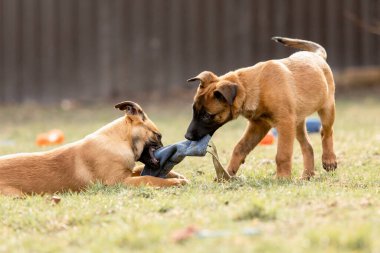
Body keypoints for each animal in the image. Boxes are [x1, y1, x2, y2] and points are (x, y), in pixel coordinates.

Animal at [0, 102, 189, 197]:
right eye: (158, 136)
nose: (166, 150)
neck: (120, 141)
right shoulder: (118, 182)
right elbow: (148, 178)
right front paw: (174, 182)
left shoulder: (126, 173)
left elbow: (140, 169)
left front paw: (175, 175)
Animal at [186, 37, 336, 180]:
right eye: (193, 111)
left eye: (206, 115)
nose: (187, 136)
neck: (253, 86)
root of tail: (317, 55)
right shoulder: (259, 125)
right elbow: (240, 147)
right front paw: (227, 174)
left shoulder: (285, 124)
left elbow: (282, 154)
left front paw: (282, 178)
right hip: (298, 121)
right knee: (307, 146)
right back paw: (307, 175)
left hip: (326, 108)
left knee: (326, 132)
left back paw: (329, 159)